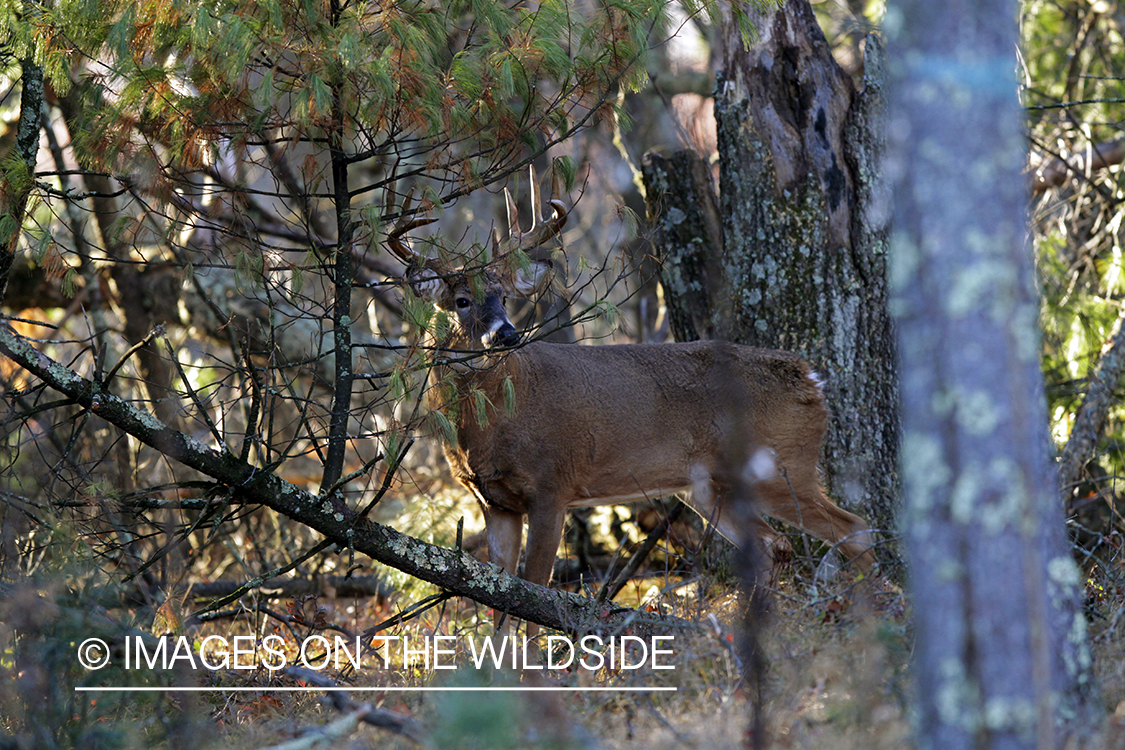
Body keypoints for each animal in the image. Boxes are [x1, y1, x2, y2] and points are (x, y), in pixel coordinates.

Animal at [384, 179, 877, 634]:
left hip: (782, 465)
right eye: (461, 301)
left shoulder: (552, 484)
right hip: (711, 487)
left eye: (504, 297)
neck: (491, 425)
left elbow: (535, 595)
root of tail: (812, 379)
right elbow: (500, 600)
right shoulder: (493, 500)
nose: (506, 334)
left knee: (855, 529)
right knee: (775, 545)